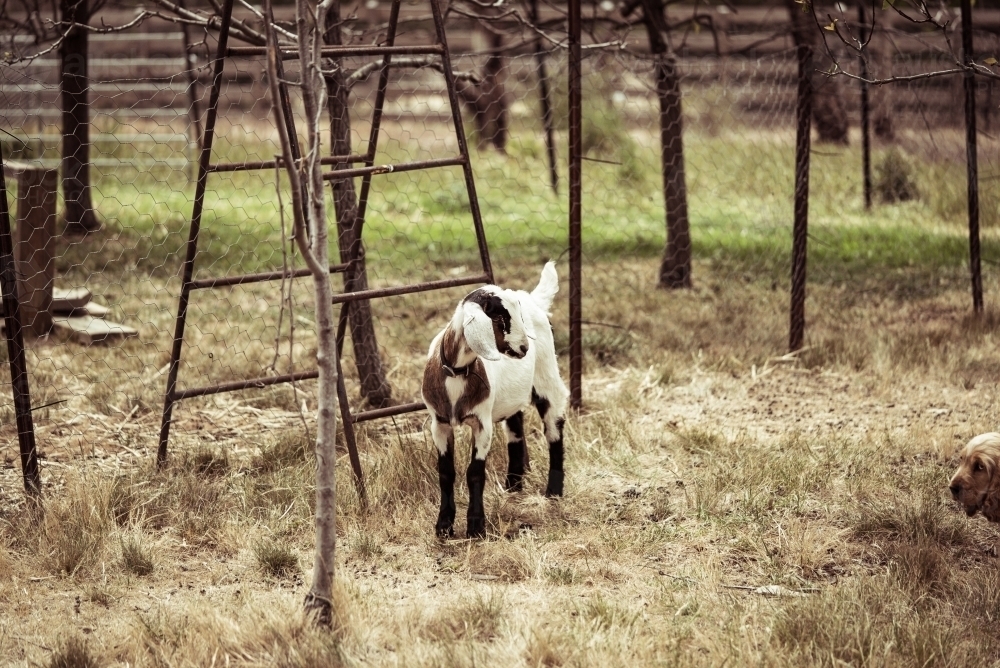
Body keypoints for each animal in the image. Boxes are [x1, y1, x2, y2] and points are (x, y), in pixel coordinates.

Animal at [418, 260, 568, 536]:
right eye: (499, 317)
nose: (524, 348)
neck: (458, 370)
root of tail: (533, 299)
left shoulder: (482, 422)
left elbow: (475, 472)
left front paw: (476, 525)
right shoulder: (439, 423)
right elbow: (445, 472)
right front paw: (444, 525)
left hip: (547, 378)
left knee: (554, 428)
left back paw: (553, 491)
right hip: (512, 395)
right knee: (516, 427)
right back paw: (514, 485)